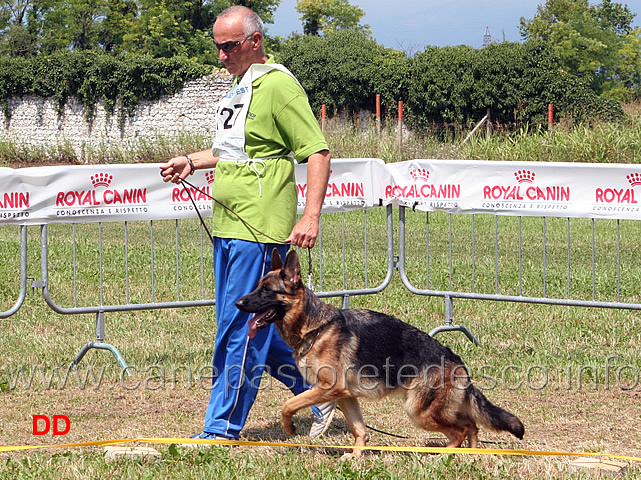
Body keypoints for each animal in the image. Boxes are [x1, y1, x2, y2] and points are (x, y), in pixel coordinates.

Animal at [235, 249, 520, 456]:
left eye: (267, 290)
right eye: (257, 286)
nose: (237, 302)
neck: (315, 327)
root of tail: (455, 360)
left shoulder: (329, 388)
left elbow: (288, 404)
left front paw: (289, 426)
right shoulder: (346, 396)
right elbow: (359, 430)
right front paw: (356, 457)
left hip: (419, 411)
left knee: (460, 430)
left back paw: (443, 456)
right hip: (434, 409)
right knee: (471, 425)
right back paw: (470, 455)